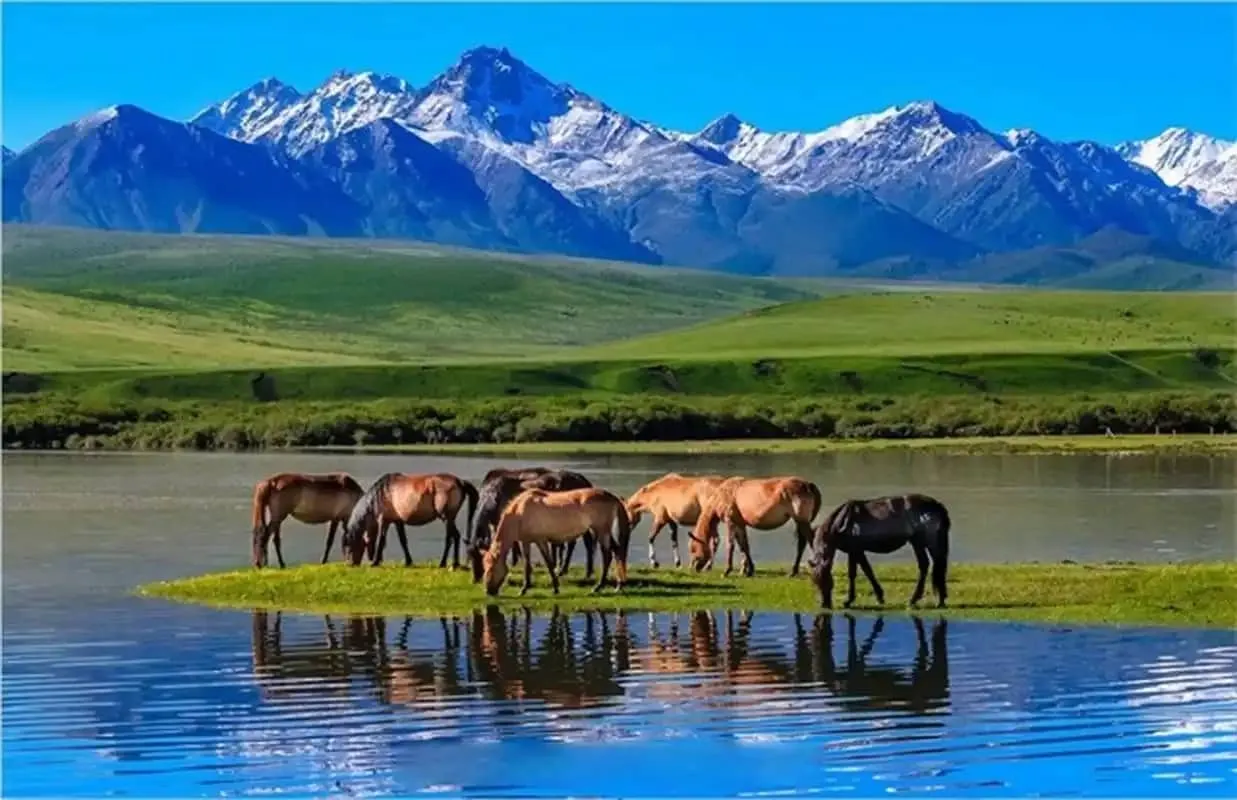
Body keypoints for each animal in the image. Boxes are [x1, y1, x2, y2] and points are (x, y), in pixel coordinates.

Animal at [341, 472, 479, 569]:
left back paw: (444, 563)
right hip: (450, 518)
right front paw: (408, 562)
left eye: (348, 546)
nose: (350, 564)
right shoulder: (397, 521)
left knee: (451, 538)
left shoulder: (384, 521)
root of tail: (459, 481)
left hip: (446, 518)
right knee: (456, 536)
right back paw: (454, 563)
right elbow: (403, 541)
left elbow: (381, 541)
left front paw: (375, 562)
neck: (381, 494)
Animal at [467, 468, 596, 583]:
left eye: (481, 557)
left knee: (580, 543)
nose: (476, 578)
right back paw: (578, 571)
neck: (494, 496)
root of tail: (581, 479)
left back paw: (575, 571)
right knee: (581, 543)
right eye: (470, 557)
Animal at [482, 487, 631, 597]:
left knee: (608, 555)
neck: (520, 511)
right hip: (603, 532)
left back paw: (598, 587)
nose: (488, 591)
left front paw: (551, 587)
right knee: (617, 552)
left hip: (600, 531)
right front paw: (528, 587)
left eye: (491, 568)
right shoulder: (526, 542)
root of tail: (611, 496)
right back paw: (619, 585)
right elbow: (528, 564)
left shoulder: (540, 540)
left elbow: (548, 563)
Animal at [687, 476, 822, 577]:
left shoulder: (730, 522)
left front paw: (727, 571)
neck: (722, 494)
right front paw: (748, 570)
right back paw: (793, 571)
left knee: (810, 540)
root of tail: (807, 484)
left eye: (693, 549)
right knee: (802, 544)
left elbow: (731, 546)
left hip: (801, 520)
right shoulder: (740, 524)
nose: (695, 568)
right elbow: (744, 546)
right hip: (800, 521)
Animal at [807, 494, 952, 610]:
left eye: (827, 579)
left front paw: (852, 600)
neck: (842, 522)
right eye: (815, 581)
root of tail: (936, 505)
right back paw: (926, 599)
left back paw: (929, 600)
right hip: (917, 543)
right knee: (928, 566)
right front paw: (871, 597)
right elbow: (860, 572)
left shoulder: (856, 550)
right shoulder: (854, 551)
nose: (825, 605)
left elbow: (860, 572)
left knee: (935, 566)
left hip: (927, 542)